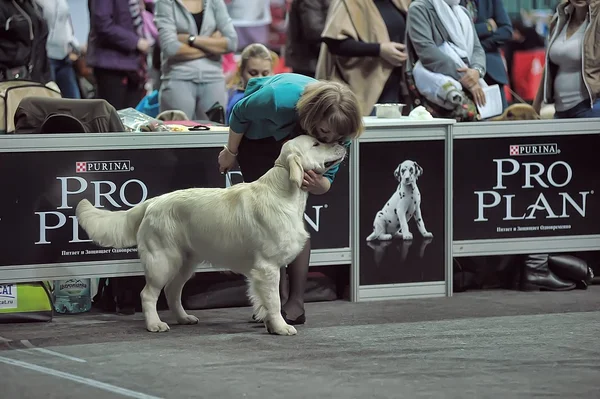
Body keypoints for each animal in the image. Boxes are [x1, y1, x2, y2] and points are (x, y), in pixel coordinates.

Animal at [76, 136, 346, 336]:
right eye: (316, 144)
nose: (342, 143)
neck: (285, 192)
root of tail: (152, 202)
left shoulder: (271, 267)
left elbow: (268, 299)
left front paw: (270, 324)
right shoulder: (267, 266)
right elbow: (274, 300)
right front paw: (281, 327)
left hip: (186, 260)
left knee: (172, 291)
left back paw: (184, 318)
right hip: (162, 259)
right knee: (149, 294)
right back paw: (155, 324)